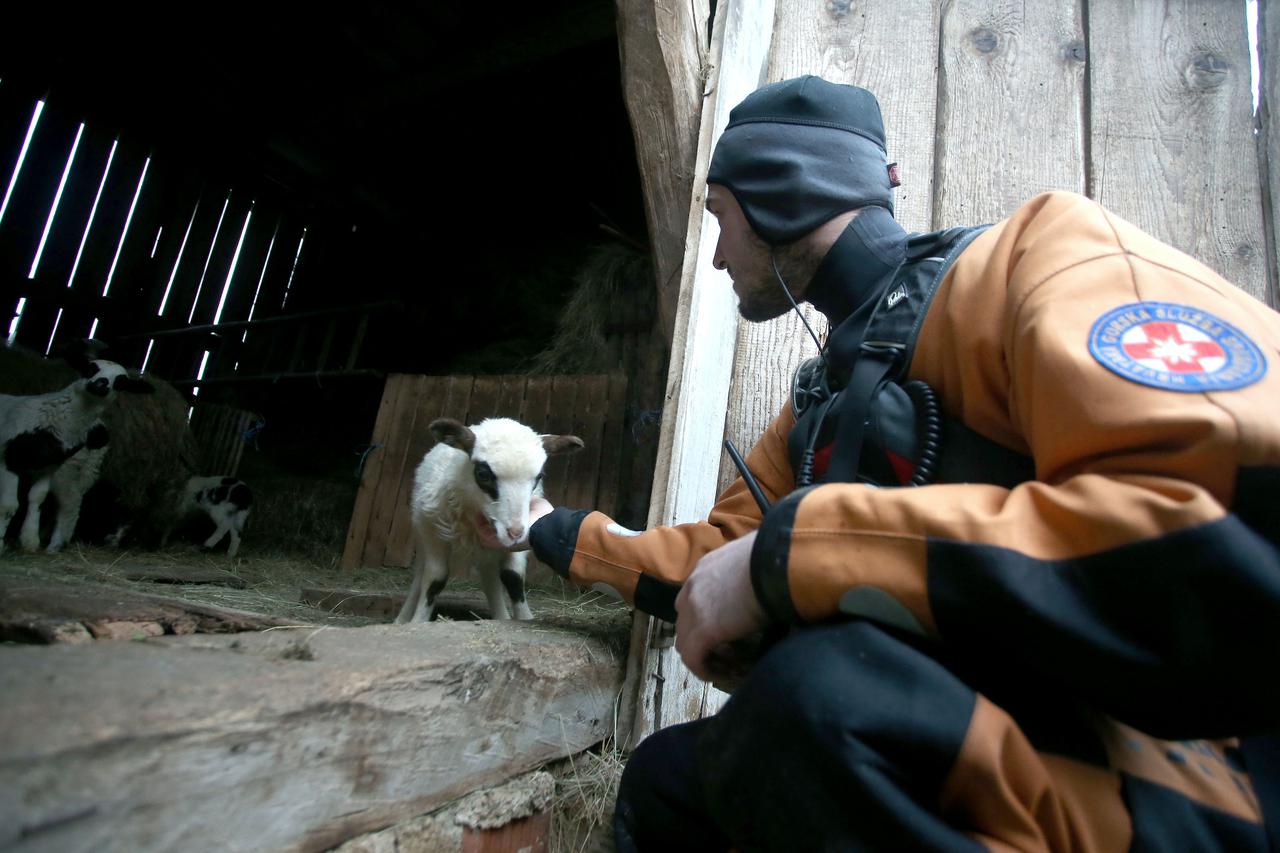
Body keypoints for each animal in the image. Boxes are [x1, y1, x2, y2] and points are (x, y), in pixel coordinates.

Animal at [0, 350, 152, 550]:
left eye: (121, 382)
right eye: (91, 368)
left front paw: (29, 540)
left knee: (71, 503)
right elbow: (10, 505)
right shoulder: (10, 459)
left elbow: (36, 498)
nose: (101, 384)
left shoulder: (47, 467)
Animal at [394, 414, 586, 622]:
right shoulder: (431, 531)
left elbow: (513, 577)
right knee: (421, 575)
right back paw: (402, 619)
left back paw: (501, 616)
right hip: (422, 536)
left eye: (538, 477)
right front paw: (418, 621)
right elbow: (435, 579)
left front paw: (524, 618)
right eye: (483, 474)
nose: (515, 533)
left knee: (490, 578)